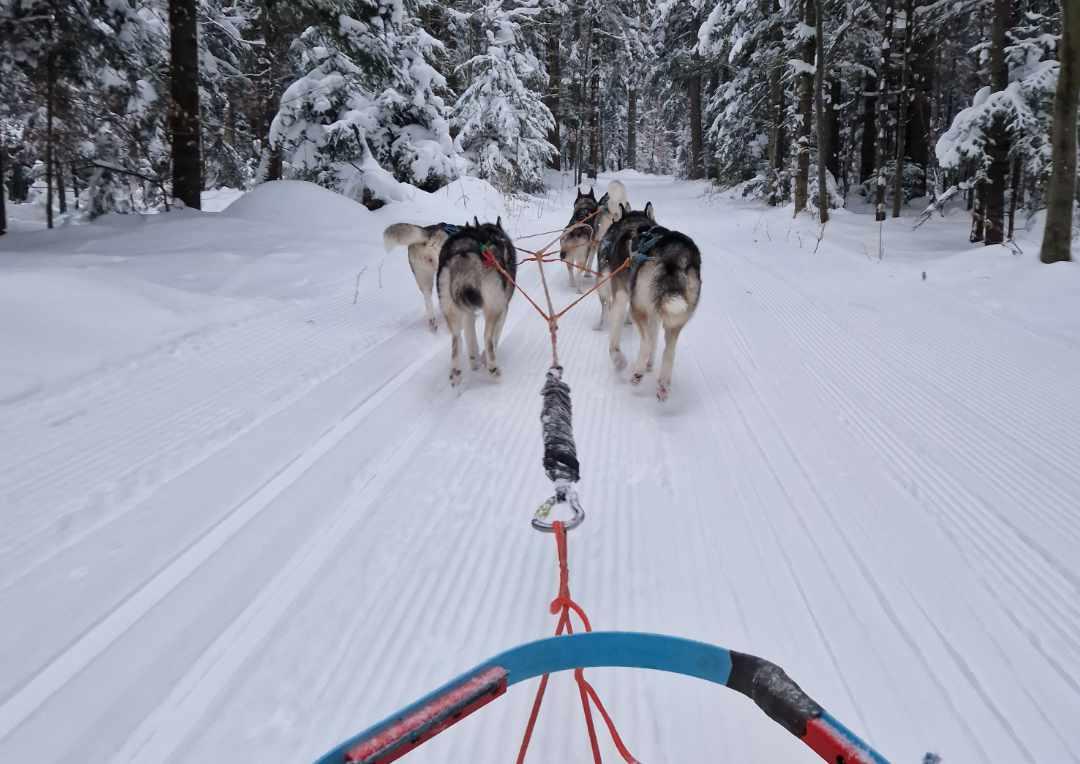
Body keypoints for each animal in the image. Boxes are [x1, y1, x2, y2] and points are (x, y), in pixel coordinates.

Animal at [436, 217, 516, 384]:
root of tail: (463, 253)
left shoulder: (468, 312)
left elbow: (470, 337)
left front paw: (474, 362)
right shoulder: (504, 308)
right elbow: (496, 336)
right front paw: (483, 359)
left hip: (451, 309)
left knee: (456, 339)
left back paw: (456, 373)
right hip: (494, 308)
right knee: (488, 338)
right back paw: (493, 368)